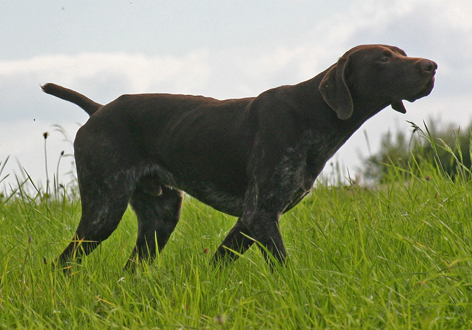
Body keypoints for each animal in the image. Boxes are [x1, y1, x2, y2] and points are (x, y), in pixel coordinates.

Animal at [42, 43, 436, 270]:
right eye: (384, 58)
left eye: (401, 53)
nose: (431, 66)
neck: (313, 114)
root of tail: (98, 109)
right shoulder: (260, 215)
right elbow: (284, 268)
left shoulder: (250, 221)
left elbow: (219, 264)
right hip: (103, 212)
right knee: (62, 263)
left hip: (160, 217)